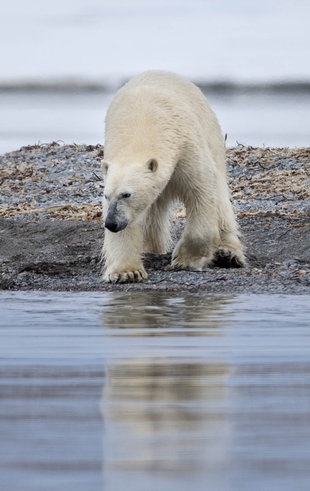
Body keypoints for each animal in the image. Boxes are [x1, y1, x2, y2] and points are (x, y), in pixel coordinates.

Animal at [101, 70, 245, 282]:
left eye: (126, 194)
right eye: (106, 196)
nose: (111, 223)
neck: (143, 124)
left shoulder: (185, 147)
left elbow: (200, 191)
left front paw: (185, 260)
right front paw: (127, 272)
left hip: (212, 136)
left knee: (221, 199)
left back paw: (228, 255)